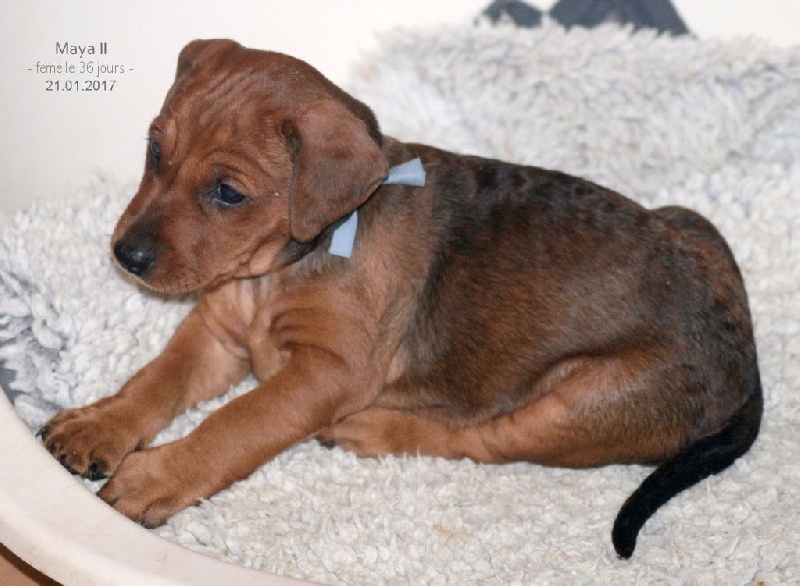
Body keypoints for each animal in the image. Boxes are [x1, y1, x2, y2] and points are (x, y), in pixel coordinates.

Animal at [39, 39, 762, 558]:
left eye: (228, 193)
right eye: (154, 149)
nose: (126, 256)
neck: (276, 270)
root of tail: (744, 356)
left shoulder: (326, 372)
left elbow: (234, 424)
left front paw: (156, 477)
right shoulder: (216, 333)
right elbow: (154, 380)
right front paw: (98, 425)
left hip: (580, 401)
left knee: (483, 440)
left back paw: (373, 429)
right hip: (692, 222)